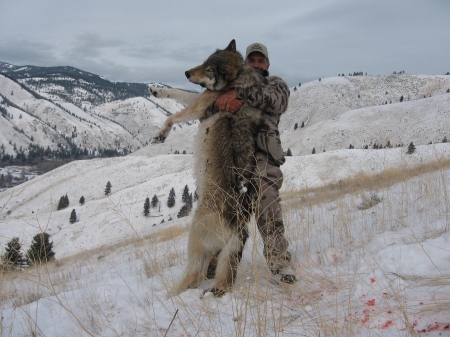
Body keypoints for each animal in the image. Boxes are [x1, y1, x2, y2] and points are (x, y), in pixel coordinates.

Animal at [151, 40, 268, 296]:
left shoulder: (199, 106)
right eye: (204, 61)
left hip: (194, 235)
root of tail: (238, 227)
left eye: (208, 69)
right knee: (203, 275)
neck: (237, 79)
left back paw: (168, 294)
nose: (186, 72)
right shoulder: (200, 100)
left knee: (194, 273)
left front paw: (161, 133)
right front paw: (156, 90)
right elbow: (177, 93)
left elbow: (173, 115)